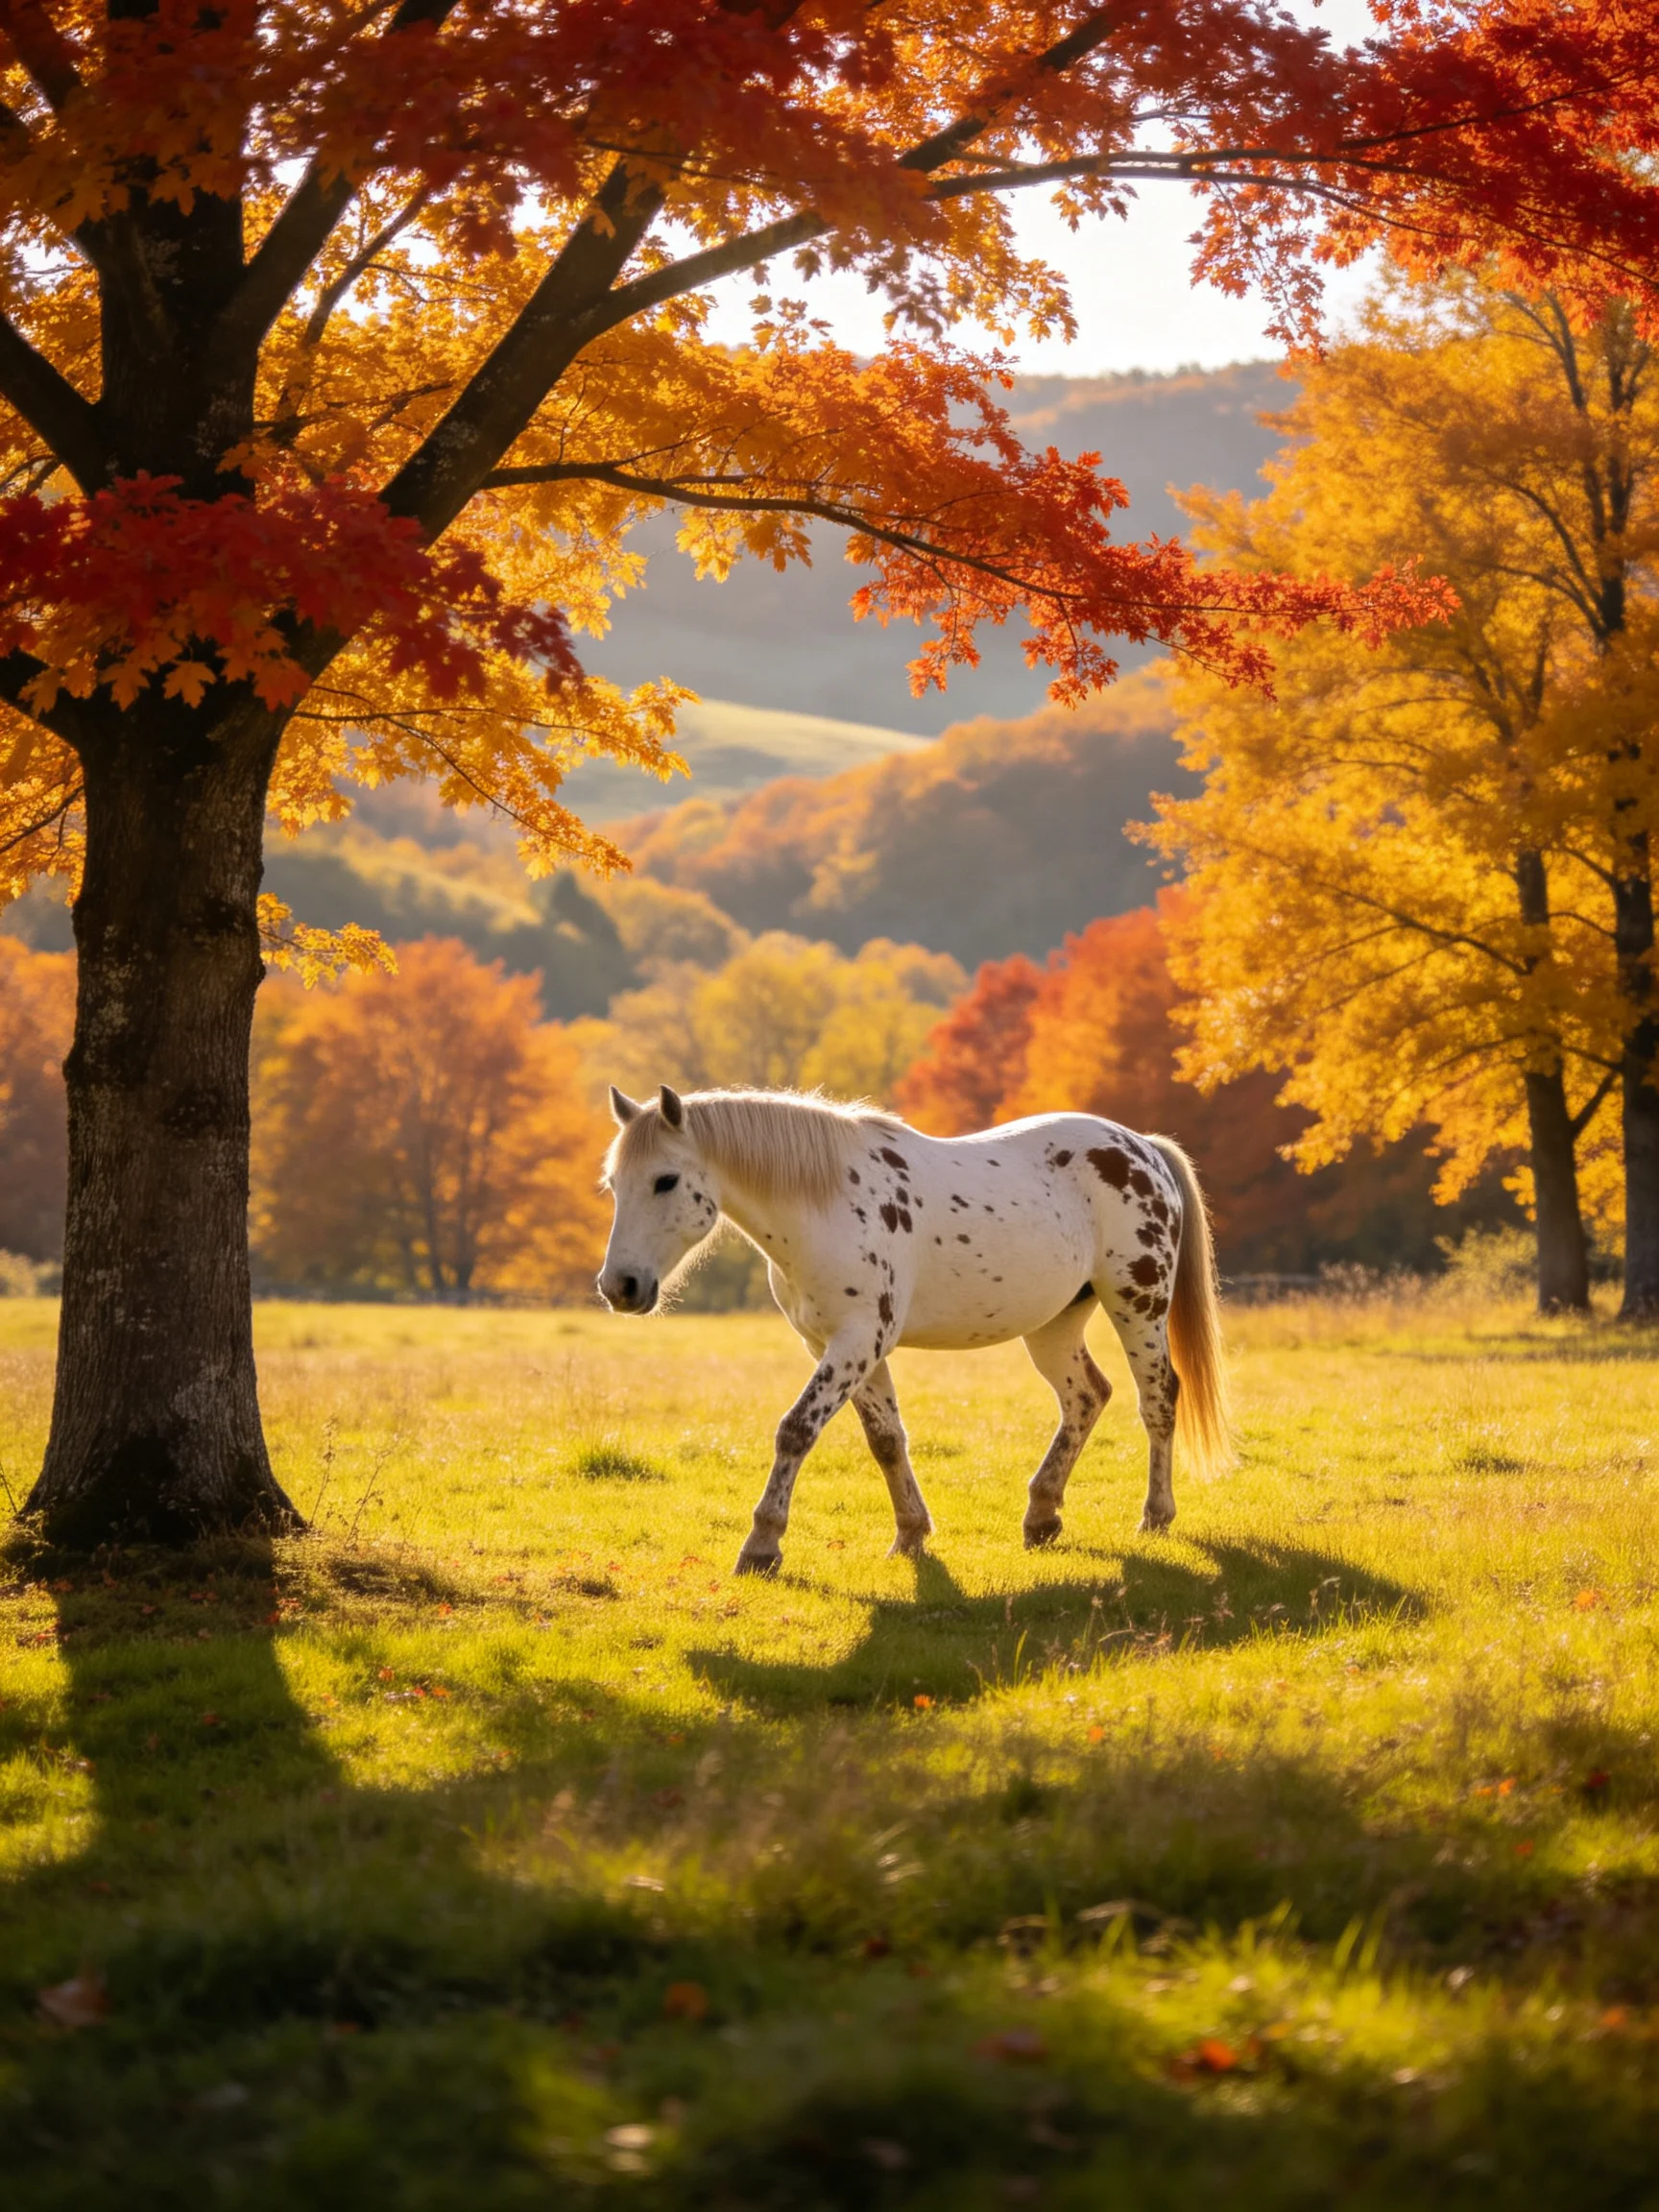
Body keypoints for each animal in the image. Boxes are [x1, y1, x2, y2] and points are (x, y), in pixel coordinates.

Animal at [597, 1084, 1231, 1576]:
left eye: (665, 1180)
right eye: (613, 1185)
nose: (619, 1286)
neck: (825, 1204)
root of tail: (1143, 1148)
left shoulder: (856, 1341)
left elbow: (796, 1430)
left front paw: (762, 1545)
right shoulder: (846, 1348)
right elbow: (886, 1440)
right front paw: (910, 1534)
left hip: (1137, 1305)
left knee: (1158, 1399)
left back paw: (1155, 1516)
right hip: (1055, 1324)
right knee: (1086, 1397)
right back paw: (1042, 1515)